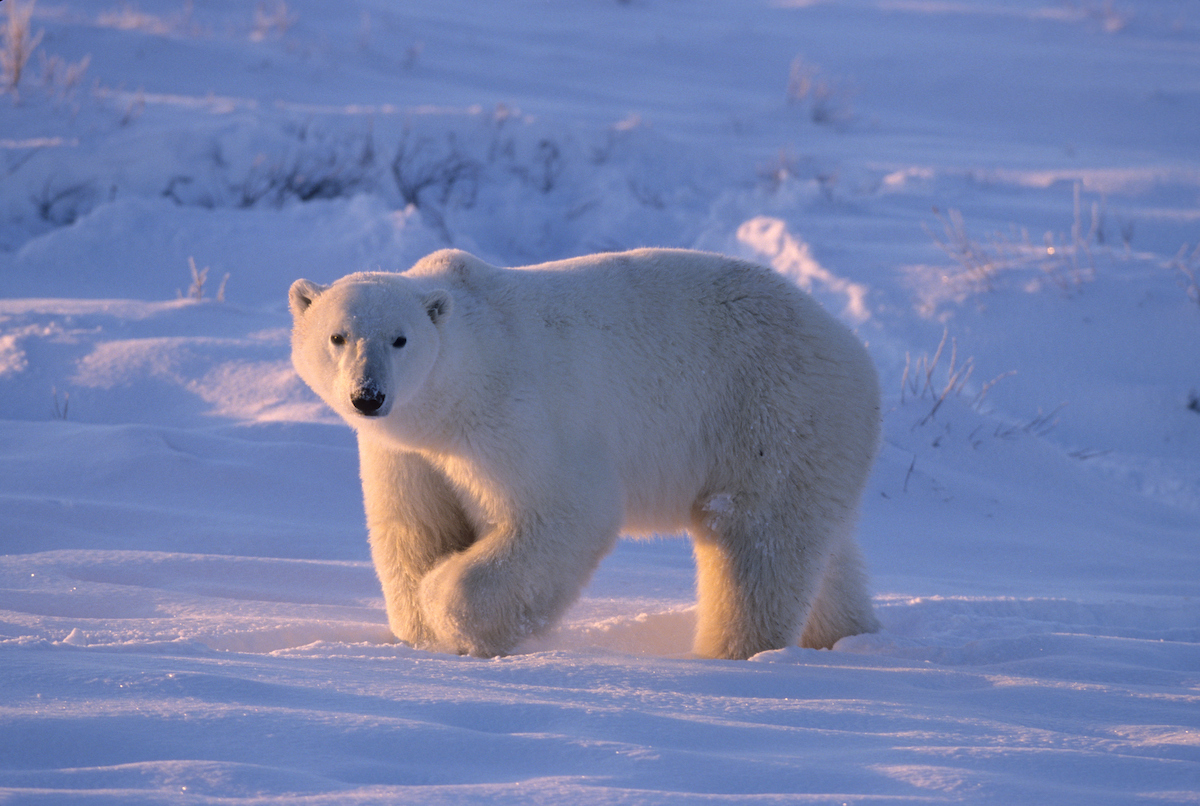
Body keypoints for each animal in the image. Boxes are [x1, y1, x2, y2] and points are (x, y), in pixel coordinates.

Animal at [290, 248, 883, 657]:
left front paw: (452, 615)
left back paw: (733, 653)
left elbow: (564, 513)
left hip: (770, 411)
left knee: (755, 546)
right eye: (338, 336)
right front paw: (421, 632)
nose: (368, 396)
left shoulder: (515, 416)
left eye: (400, 339)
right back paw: (847, 636)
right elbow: (414, 529)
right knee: (826, 551)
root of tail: (853, 348)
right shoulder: (407, 452)